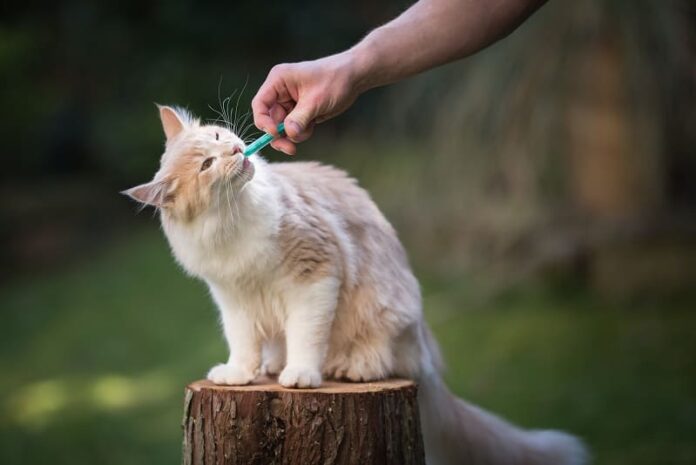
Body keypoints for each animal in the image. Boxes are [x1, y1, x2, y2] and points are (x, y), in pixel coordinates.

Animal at [125, 105, 588, 464]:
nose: (237, 150)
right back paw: (272, 366)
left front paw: (302, 375)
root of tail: (428, 362)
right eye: (206, 165)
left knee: (380, 354)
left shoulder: (313, 276)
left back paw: (349, 367)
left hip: (388, 313)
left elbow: (306, 336)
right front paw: (240, 374)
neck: (232, 220)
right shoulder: (234, 297)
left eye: (220, 137)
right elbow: (242, 343)